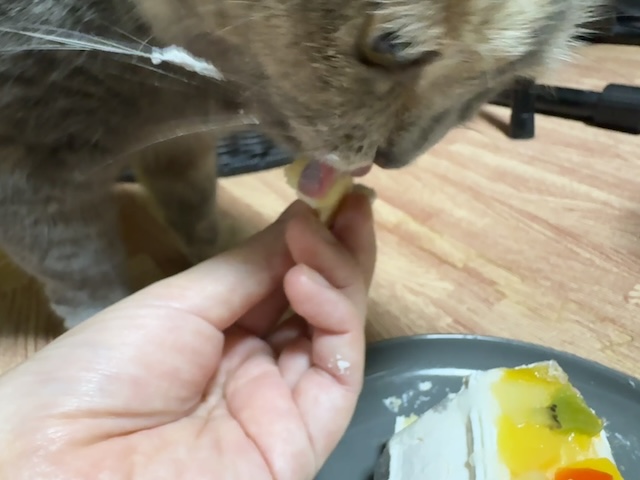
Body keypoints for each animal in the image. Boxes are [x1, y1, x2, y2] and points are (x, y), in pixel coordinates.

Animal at [0, 0, 607, 329]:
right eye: (393, 46)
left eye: (502, 80)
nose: (396, 157)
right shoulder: (28, 166)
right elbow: (78, 266)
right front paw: (101, 319)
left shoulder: (176, 146)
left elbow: (194, 207)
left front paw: (215, 254)